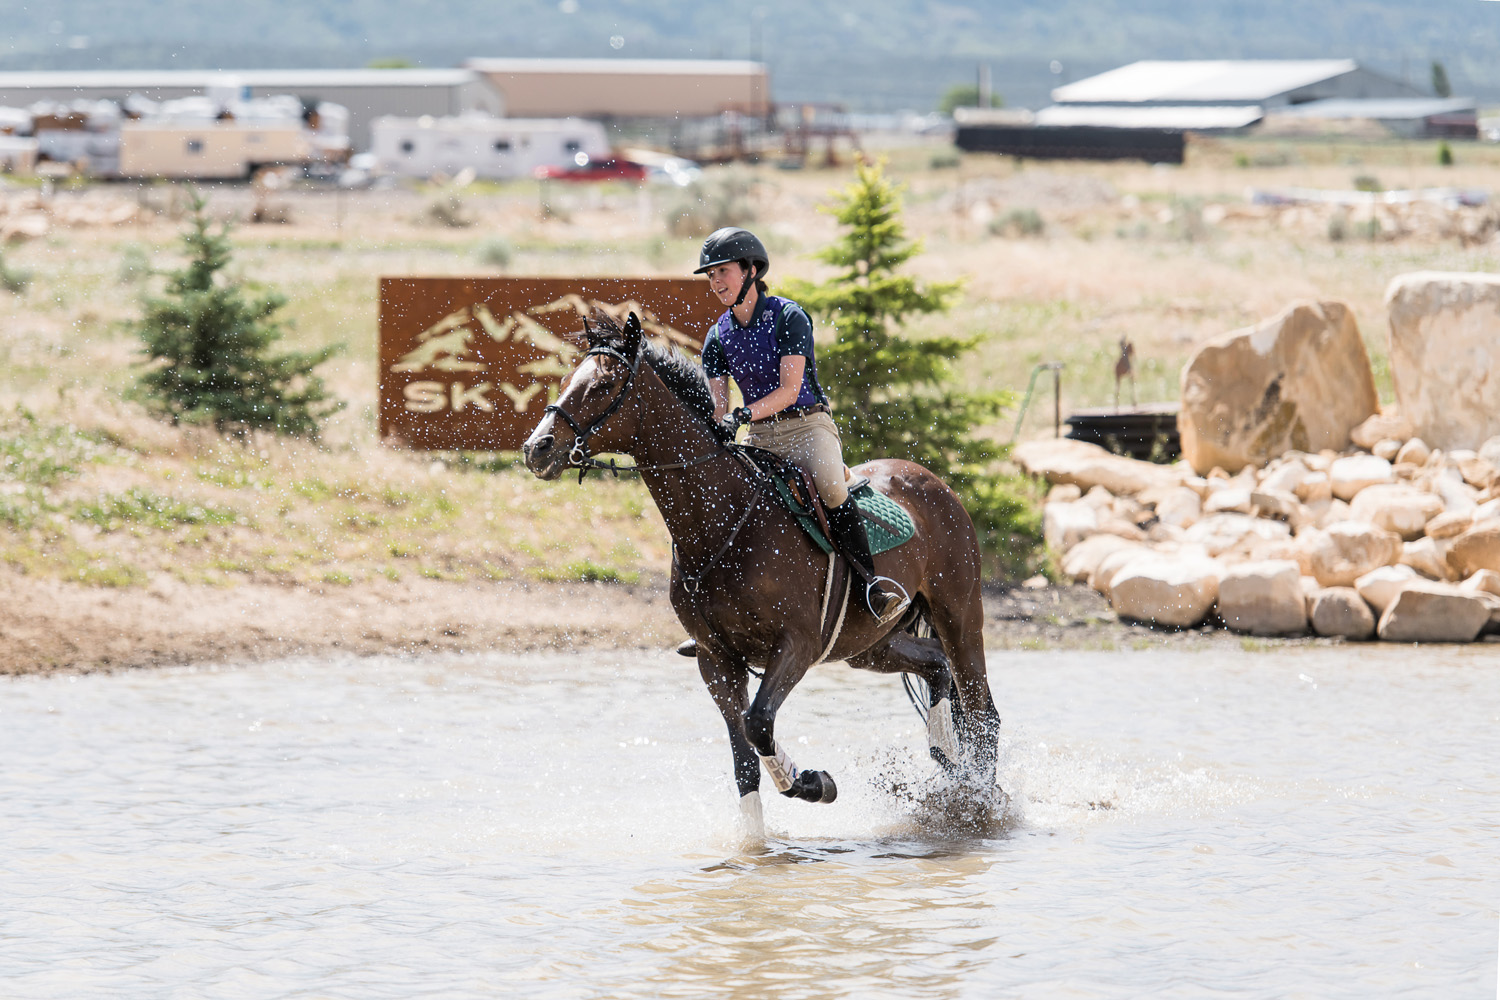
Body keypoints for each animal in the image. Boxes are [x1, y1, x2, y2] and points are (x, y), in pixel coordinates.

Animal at [522, 311, 1001, 833]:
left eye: (602, 386)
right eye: (566, 380)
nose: (536, 449)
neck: (721, 524)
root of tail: (933, 482)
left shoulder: (796, 644)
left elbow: (759, 724)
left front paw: (814, 784)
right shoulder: (717, 660)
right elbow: (744, 759)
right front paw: (757, 842)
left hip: (959, 616)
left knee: (982, 711)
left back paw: (981, 802)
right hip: (869, 645)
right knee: (936, 667)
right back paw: (947, 761)